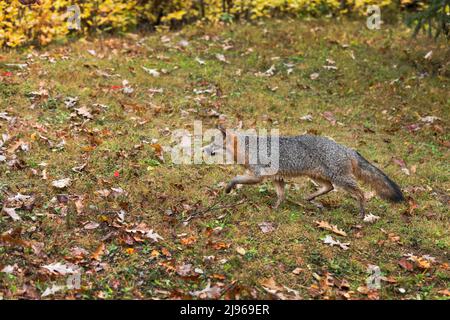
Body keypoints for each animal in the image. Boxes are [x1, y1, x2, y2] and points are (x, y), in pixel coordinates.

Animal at [204, 126, 404, 219]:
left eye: (213, 145)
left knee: (360, 193)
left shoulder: (257, 176)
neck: (248, 148)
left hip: (342, 180)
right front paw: (276, 208)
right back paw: (309, 198)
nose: (203, 149)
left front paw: (229, 188)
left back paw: (361, 214)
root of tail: (347, 148)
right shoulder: (277, 177)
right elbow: (281, 195)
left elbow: (235, 178)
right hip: (318, 177)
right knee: (329, 188)